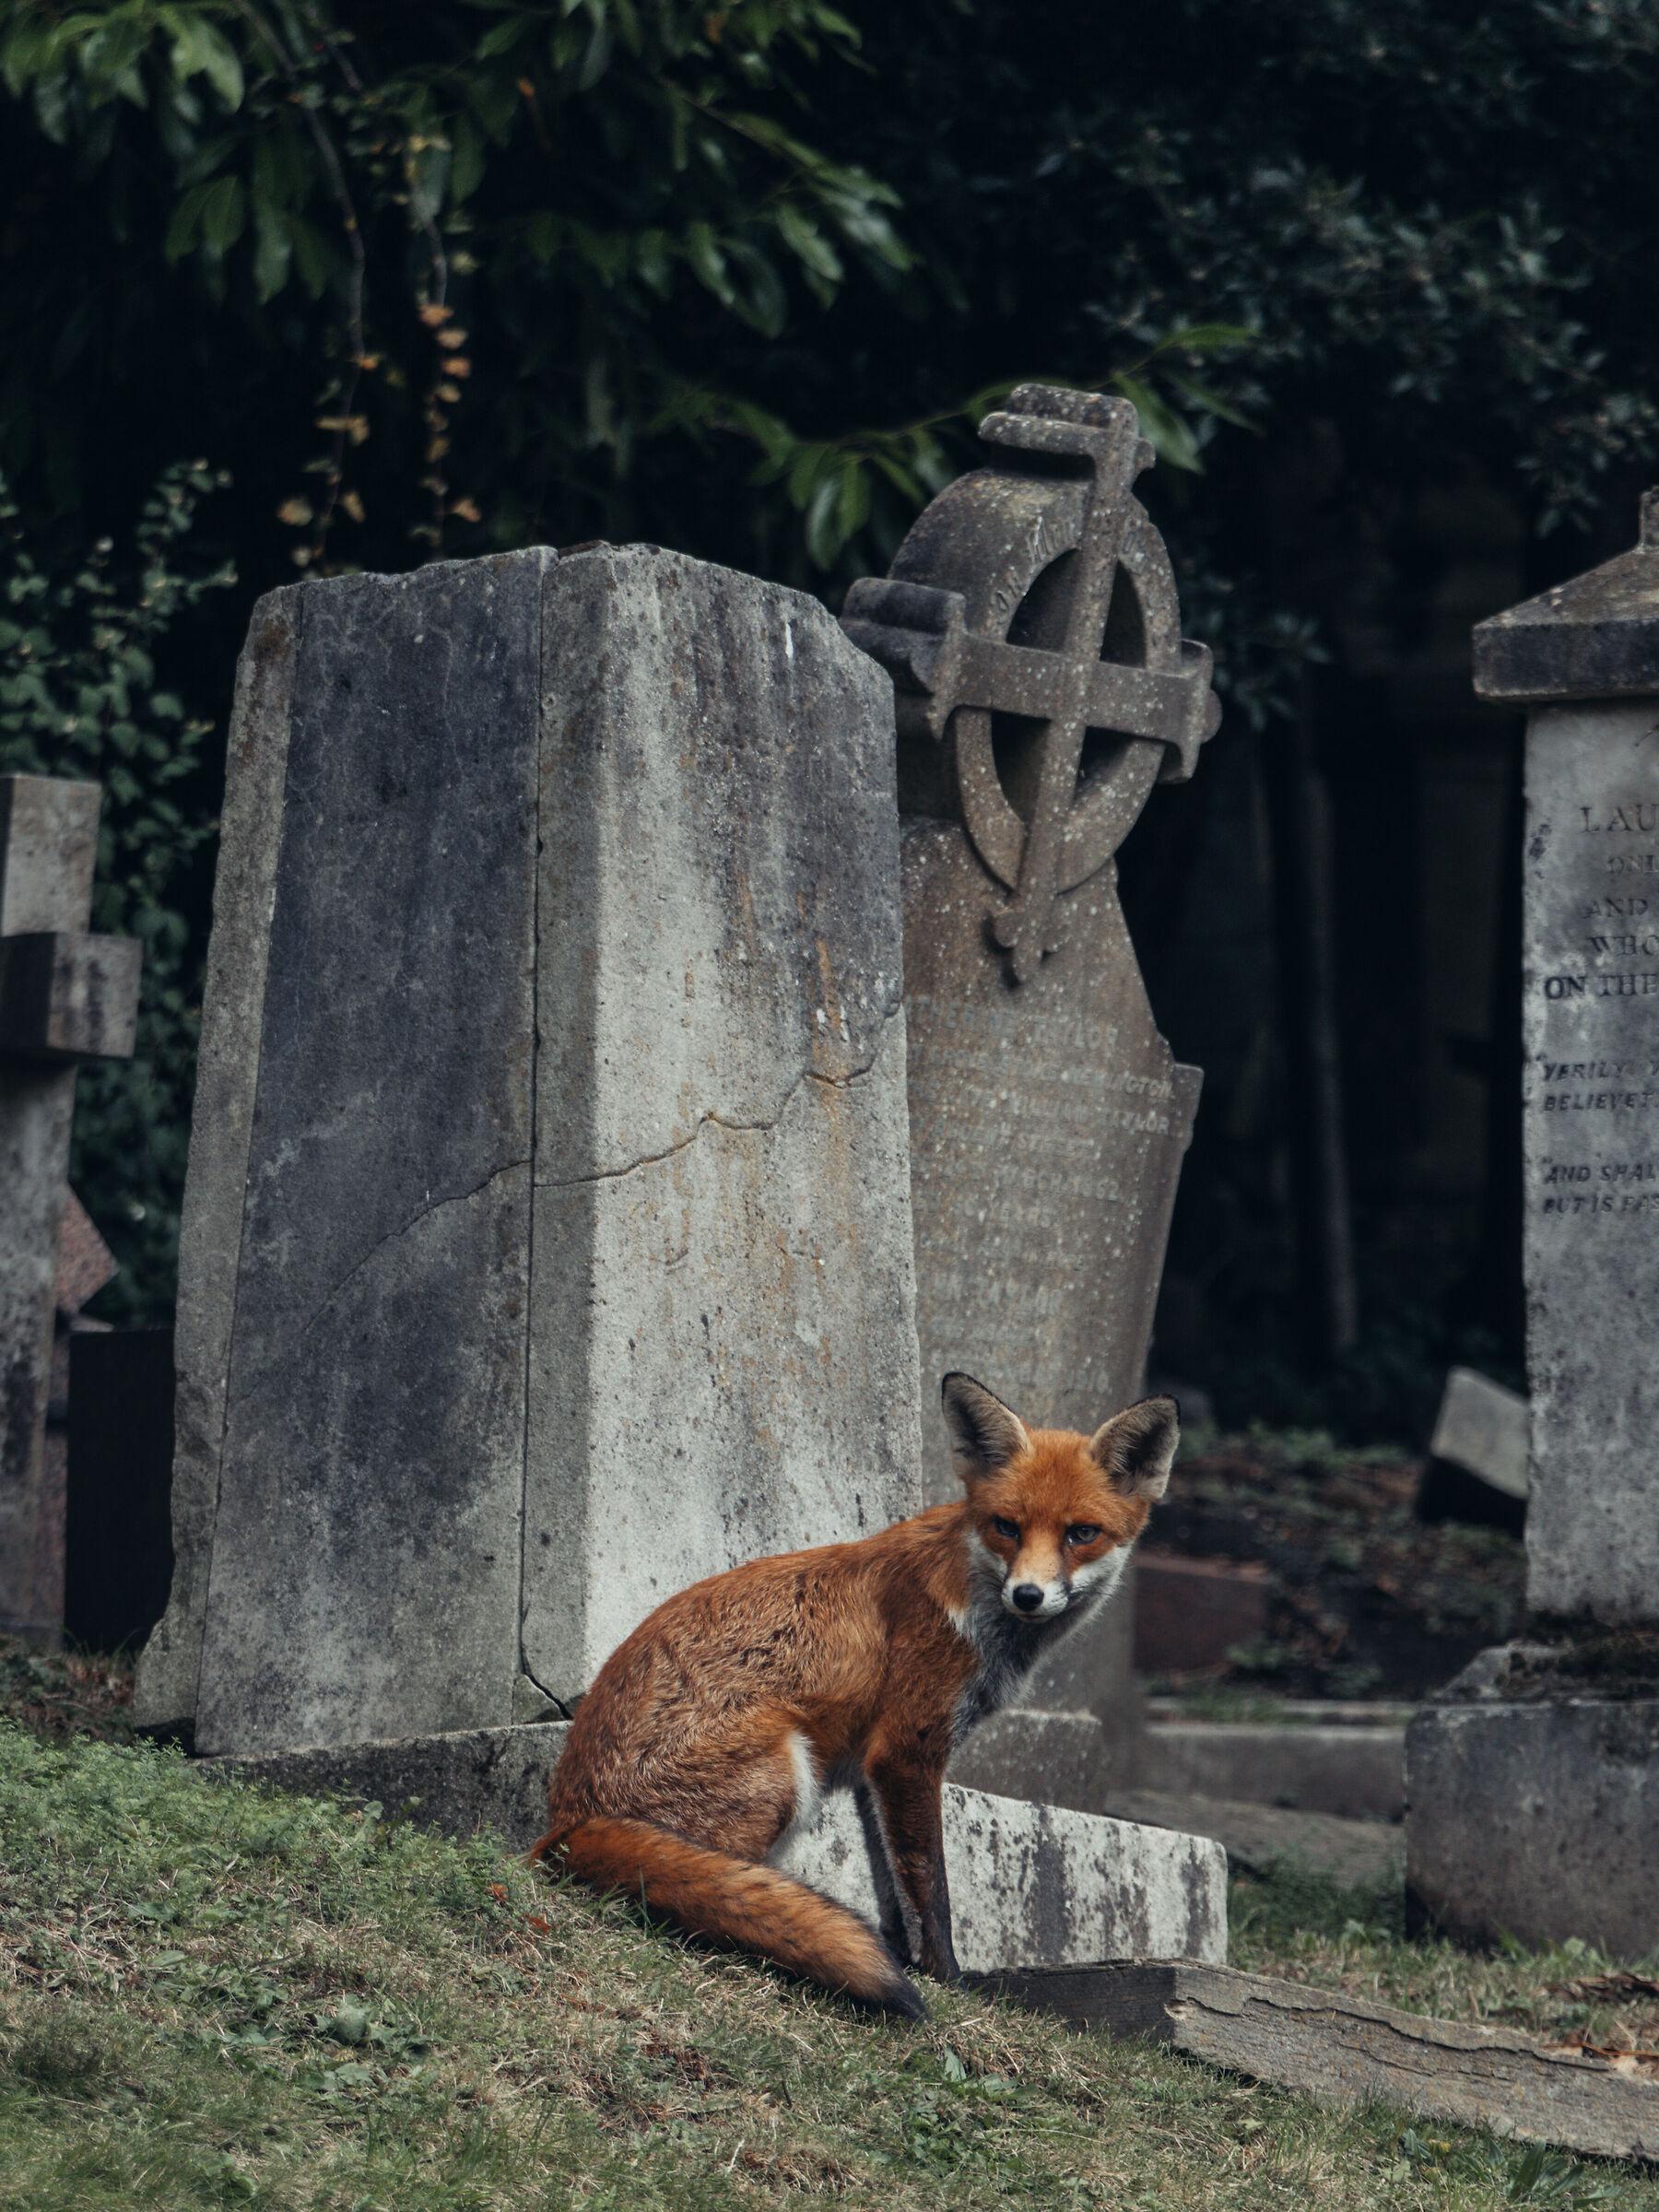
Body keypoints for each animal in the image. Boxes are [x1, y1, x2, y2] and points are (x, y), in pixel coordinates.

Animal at [531, 1372, 1178, 2020]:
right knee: (713, 1882)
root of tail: (567, 1825)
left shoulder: (874, 1771)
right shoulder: (908, 1750)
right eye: (1007, 1526)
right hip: (785, 1768)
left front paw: (906, 1958)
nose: (1027, 1595)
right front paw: (948, 1981)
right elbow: (932, 1888)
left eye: (1081, 1534)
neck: (974, 1605)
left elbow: (894, 1888)